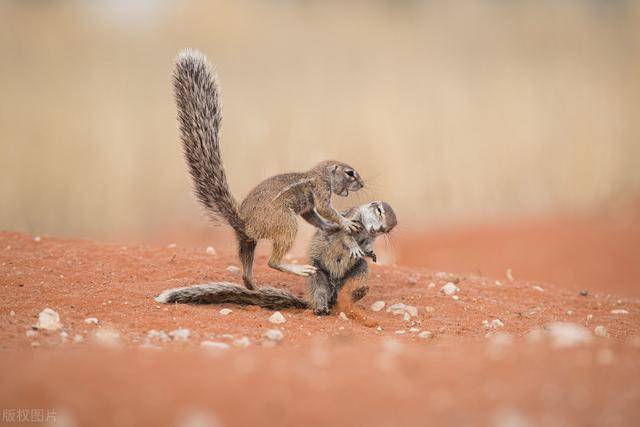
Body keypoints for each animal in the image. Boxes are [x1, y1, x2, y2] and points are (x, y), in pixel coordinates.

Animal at [155, 201, 396, 328]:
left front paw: (370, 252)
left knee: (360, 274)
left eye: (389, 229)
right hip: (318, 276)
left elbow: (366, 248)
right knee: (319, 292)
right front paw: (353, 246)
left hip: (357, 271)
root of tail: (333, 294)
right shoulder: (348, 222)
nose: (379, 229)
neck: (364, 230)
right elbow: (344, 237)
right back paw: (321, 308)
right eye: (379, 211)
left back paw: (357, 293)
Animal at [172, 49, 364, 290]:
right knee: (273, 261)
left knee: (246, 268)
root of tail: (245, 224)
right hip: (286, 223)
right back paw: (299, 270)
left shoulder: (308, 208)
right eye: (350, 173)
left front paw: (329, 226)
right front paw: (344, 222)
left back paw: (253, 288)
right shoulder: (320, 191)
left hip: (247, 242)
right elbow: (326, 209)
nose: (362, 184)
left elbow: (314, 217)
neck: (320, 174)